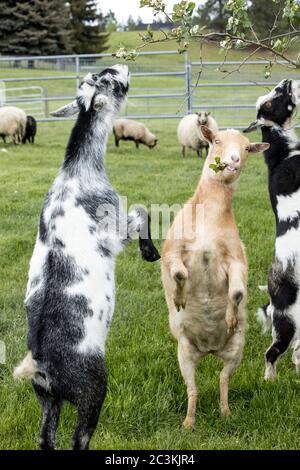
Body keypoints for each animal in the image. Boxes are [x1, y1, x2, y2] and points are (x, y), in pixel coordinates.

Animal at [13, 64, 162, 450]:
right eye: (111, 79)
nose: (123, 66)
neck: (78, 171)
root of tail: (42, 366)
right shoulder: (115, 229)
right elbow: (141, 211)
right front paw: (150, 253)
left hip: (46, 399)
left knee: (46, 439)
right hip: (92, 389)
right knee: (79, 440)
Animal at [162, 126, 270, 430]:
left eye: (247, 148)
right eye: (217, 140)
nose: (233, 160)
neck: (209, 217)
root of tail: (209, 350)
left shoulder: (235, 259)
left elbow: (237, 292)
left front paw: (231, 317)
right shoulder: (173, 251)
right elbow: (179, 272)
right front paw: (179, 298)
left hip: (236, 351)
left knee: (223, 380)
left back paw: (225, 412)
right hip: (184, 352)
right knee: (192, 388)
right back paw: (188, 422)